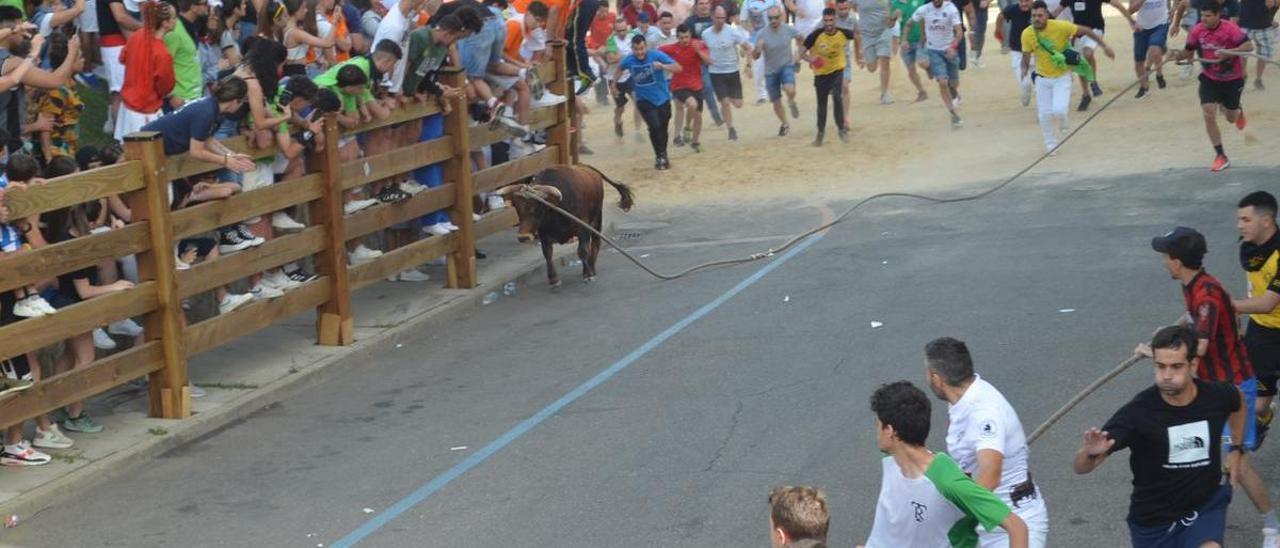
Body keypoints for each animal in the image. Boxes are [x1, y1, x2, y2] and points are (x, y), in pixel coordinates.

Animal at [499, 165, 640, 286]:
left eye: (537, 208)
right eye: (517, 209)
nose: (523, 237)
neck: (556, 209)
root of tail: (589, 168)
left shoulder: (583, 228)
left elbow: (582, 251)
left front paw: (588, 275)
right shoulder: (543, 233)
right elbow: (547, 254)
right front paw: (553, 279)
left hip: (597, 220)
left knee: (595, 244)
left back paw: (592, 268)